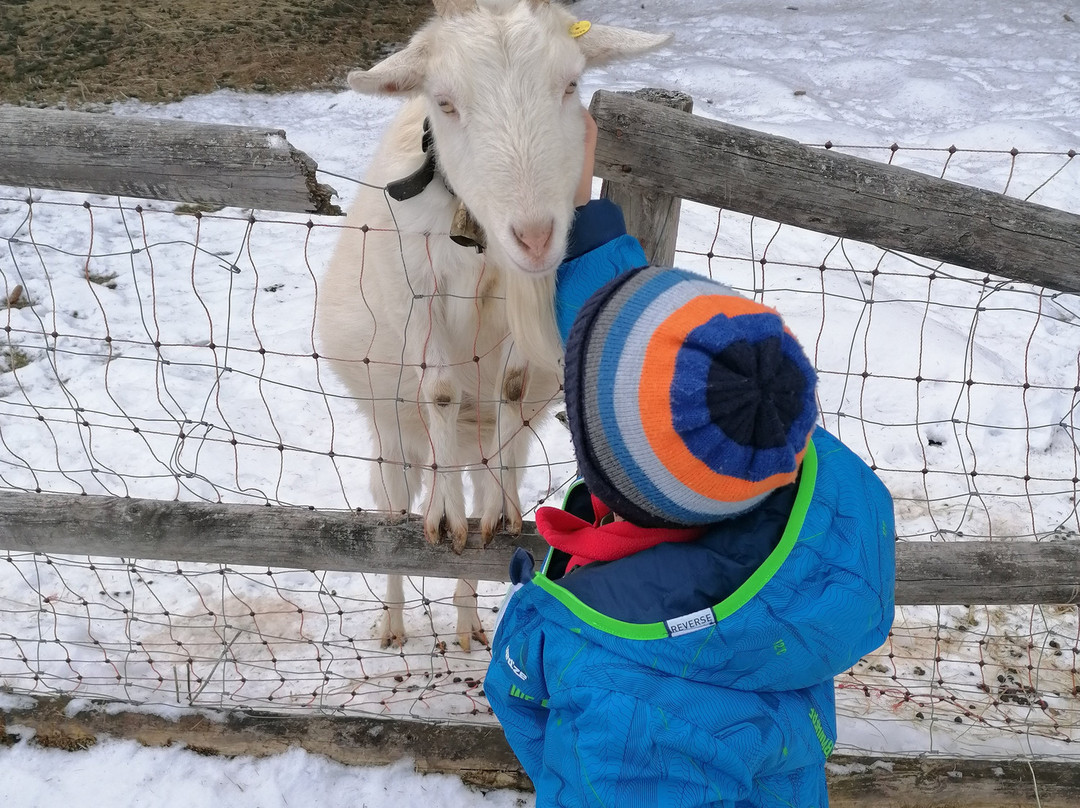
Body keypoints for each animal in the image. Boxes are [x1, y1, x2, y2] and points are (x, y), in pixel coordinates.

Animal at [313, 0, 665, 648]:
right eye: (446, 102)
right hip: (392, 432)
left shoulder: (521, 302)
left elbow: (513, 385)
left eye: (570, 85)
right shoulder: (418, 290)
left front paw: (498, 516)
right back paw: (394, 620)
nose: (535, 235)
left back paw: (470, 616)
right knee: (390, 512)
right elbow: (440, 389)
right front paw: (444, 517)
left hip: (495, 441)